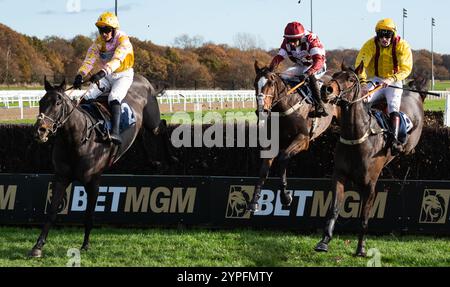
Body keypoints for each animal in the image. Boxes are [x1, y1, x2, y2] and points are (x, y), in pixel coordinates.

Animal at [248, 60, 340, 213]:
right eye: (255, 84)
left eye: (271, 83)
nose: (262, 110)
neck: (285, 107)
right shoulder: (273, 143)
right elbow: (263, 171)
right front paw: (254, 202)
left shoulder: (303, 139)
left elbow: (283, 158)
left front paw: (285, 197)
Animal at [314, 63, 428, 256]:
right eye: (335, 75)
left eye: (351, 79)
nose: (326, 89)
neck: (357, 136)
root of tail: (413, 93)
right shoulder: (339, 176)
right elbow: (334, 208)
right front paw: (324, 241)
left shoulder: (369, 185)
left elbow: (364, 216)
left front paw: (361, 248)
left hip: (411, 141)